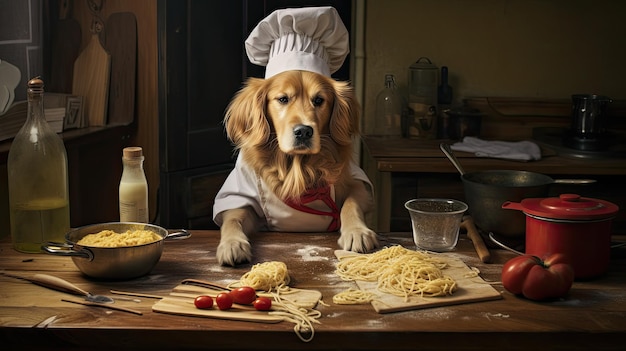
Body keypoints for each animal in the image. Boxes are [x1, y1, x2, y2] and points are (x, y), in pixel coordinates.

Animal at [214, 69, 378, 266]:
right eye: (283, 99)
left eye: (318, 100)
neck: (298, 169)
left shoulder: (357, 183)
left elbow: (351, 203)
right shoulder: (242, 198)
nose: (304, 131)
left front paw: (356, 232)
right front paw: (232, 244)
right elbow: (233, 218)